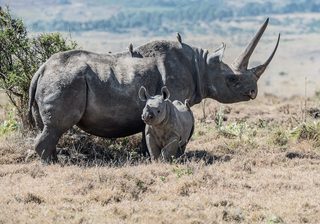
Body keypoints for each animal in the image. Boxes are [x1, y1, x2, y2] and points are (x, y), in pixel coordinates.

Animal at [28, 18, 280, 162]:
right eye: (232, 80)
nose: (253, 92)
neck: (202, 66)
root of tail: (40, 69)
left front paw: (146, 157)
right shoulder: (174, 97)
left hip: (56, 80)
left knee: (49, 129)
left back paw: (55, 160)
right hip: (65, 80)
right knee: (56, 127)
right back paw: (54, 165)